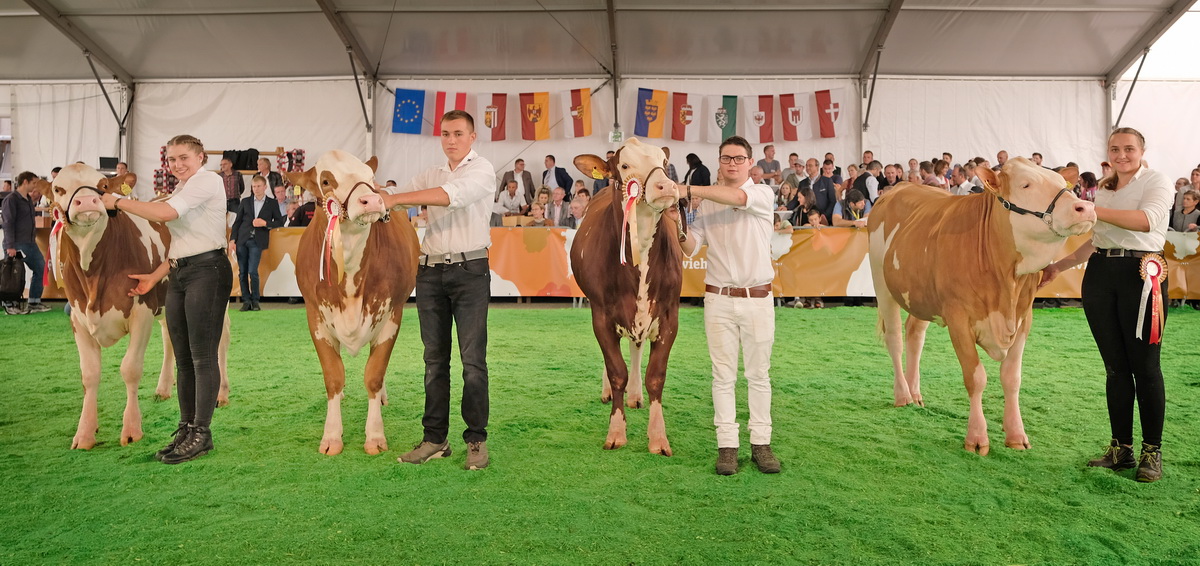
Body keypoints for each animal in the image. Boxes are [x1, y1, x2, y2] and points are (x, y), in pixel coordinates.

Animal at [46, 163, 230, 450]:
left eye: (103, 185)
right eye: (58, 189)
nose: (86, 201)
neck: (93, 275)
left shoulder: (141, 313)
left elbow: (130, 369)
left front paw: (132, 429)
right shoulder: (78, 319)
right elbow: (89, 375)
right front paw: (85, 433)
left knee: (221, 340)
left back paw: (222, 394)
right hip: (167, 303)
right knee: (170, 337)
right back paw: (164, 387)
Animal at [286, 149, 422, 455]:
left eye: (370, 177)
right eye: (325, 180)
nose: (372, 200)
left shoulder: (391, 314)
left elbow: (374, 374)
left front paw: (374, 436)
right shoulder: (316, 317)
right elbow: (333, 377)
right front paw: (331, 436)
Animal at [573, 139, 686, 458]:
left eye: (664, 161)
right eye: (624, 165)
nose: (666, 185)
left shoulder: (669, 315)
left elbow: (655, 375)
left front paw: (658, 437)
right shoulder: (601, 315)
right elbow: (616, 371)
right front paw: (616, 432)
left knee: (636, 347)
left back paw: (635, 395)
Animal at [864, 157, 1099, 453]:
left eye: (1063, 185)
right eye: (1025, 184)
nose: (1085, 207)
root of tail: (901, 186)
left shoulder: (1024, 317)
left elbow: (1012, 378)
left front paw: (1016, 435)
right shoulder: (958, 318)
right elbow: (976, 378)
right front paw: (976, 438)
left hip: (921, 293)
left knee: (915, 335)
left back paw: (915, 393)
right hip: (881, 283)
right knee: (894, 338)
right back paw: (903, 395)